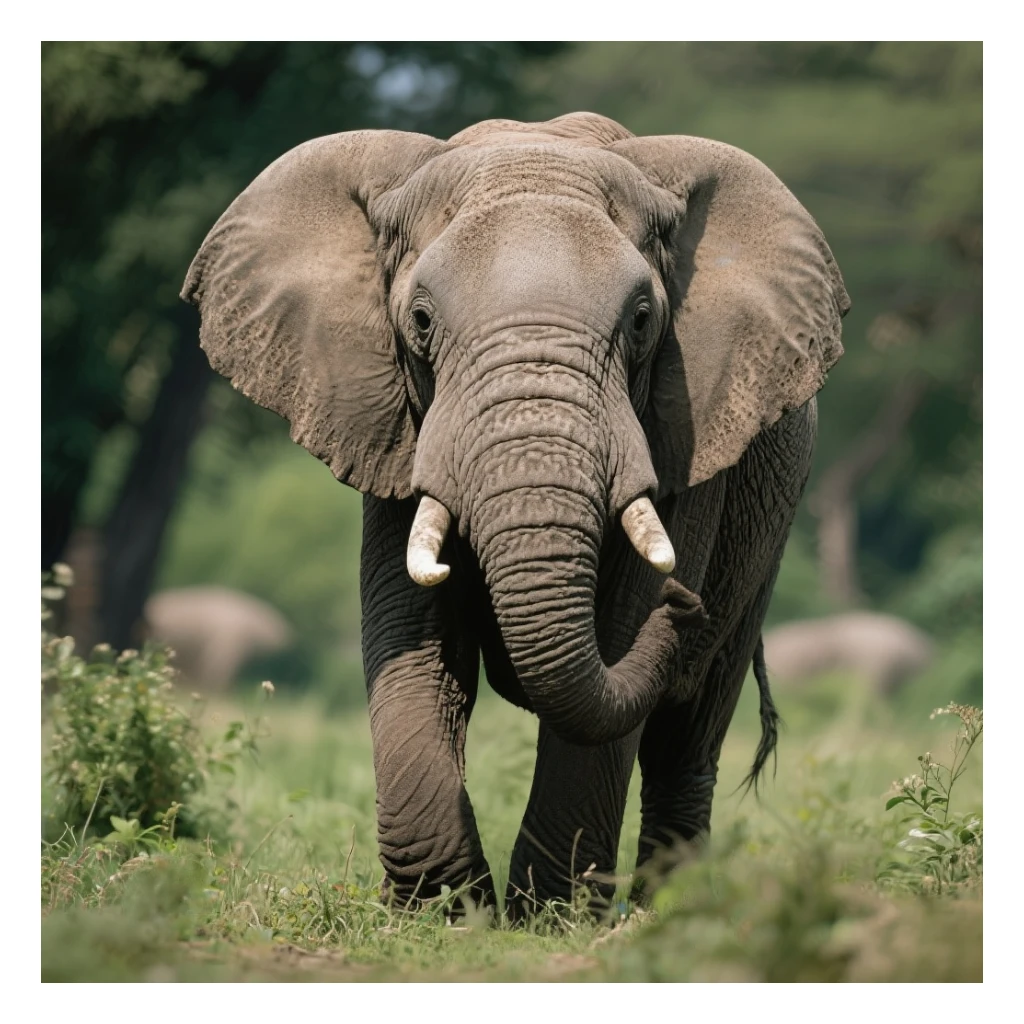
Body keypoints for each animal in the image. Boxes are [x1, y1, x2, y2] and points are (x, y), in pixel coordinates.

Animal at [182, 112, 849, 918]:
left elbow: (619, 634)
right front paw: (443, 908)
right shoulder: (396, 429)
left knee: (688, 731)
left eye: (643, 321)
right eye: (420, 321)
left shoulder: (688, 435)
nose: (683, 600)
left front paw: (549, 917)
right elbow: (414, 640)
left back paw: (665, 913)